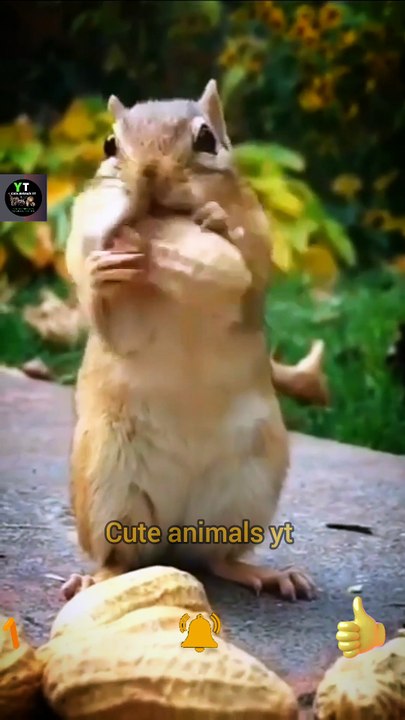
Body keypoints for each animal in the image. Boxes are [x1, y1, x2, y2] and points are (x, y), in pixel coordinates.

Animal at [62, 80, 317, 602]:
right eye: (109, 145)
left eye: (206, 140)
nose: (149, 174)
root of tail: (174, 538)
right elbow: (104, 313)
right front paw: (101, 273)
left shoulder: (258, 236)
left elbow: (248, 269)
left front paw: (216, 220)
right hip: (106, 490)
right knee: (120, 559)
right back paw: (96, 578)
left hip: (249, 487)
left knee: (219, 558)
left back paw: (267, 574)